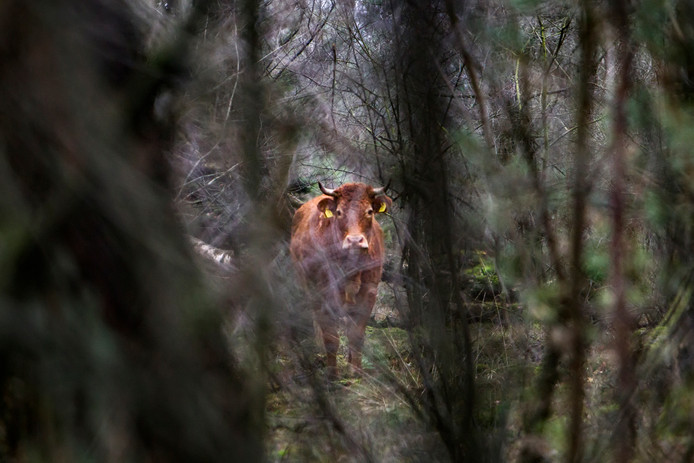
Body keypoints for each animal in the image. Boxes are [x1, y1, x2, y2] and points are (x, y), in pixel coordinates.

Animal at [290, 179, 394, 378]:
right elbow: (331, 337)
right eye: (339, 212)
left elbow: (356, 335)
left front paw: (356, 372)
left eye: (369, 211)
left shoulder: (369, 292)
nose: (355, 241)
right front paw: (332, 375)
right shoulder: (322, 294)